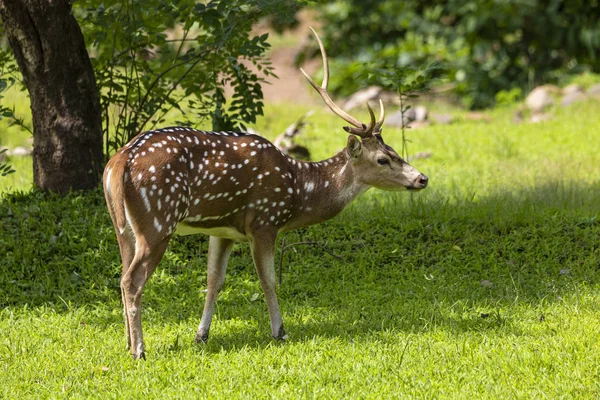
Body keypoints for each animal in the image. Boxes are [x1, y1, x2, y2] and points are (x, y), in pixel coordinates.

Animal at [104, 28, 432, 360]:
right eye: (382, 159)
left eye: (393, 150)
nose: (422, 178)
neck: (298, 189)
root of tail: (119, 162)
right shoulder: (264, 220)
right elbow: (268, 280)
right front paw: (279, 331)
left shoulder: (222, 229)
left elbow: (214, 281)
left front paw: (201, 335)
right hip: (158, 219)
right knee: (132, 280)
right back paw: (139, 349)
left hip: (123, 227)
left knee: (121, 275)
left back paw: (127, 342)